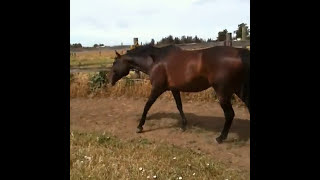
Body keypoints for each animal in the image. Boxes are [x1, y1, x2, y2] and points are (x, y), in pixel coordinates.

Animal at [110, 44, 250, 144]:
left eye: (114, 63)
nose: (110, 80)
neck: (155, 61)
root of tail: (240, 53)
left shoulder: (157, 88)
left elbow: (147, 106)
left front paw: (140, 126)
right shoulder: (174, 89)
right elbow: (179, 106)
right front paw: (183, 125)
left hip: (223, 92)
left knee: (229, 114)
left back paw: (220, 138)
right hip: (238, 89)